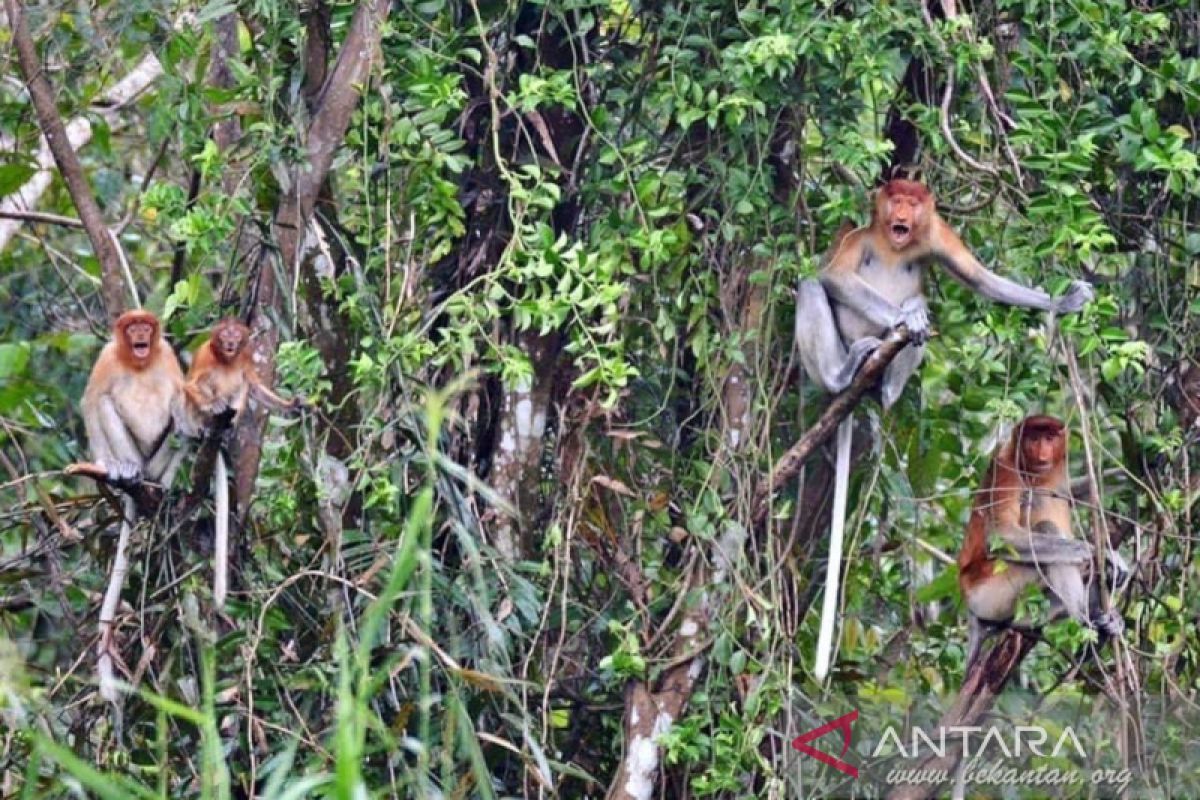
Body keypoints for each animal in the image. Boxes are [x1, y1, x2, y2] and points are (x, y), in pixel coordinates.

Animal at [183, 319, 304, 606]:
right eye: (225, 335)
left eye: (236, 336)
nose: (230, 342)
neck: (226, 359)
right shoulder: (205, 355)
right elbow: (190, 384)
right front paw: (214, 404)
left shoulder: (246, 358)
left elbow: (255, 386)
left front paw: (292, 404)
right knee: (203, 386)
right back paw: (211, 424)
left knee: (242, 387)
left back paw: (230, 429)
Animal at [796, 178, 1099, 681]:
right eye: (895, 198)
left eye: (912, 202)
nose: (901, 212)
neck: (895, 243)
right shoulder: (861, 236)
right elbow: (835, 277)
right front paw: (906, 316)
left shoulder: (935, 234)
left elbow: (980, 278)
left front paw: (1064, 301)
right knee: (812, 287)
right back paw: (848, 369)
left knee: (916, 314)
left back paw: (888, 386)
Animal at [955, 417, 1123, 666]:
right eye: (1033, 439)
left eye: (1049, 438)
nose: (1043, 455)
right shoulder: (1005, 470)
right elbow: (1002, 535)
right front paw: (1100, 554)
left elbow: (1071, 491)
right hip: (991, 594)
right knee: (1047, 532)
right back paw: (1087, 625)